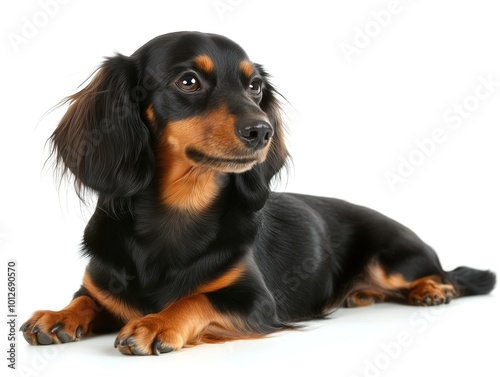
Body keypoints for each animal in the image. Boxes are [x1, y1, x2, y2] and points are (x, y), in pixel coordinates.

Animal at [20, 30, 496, 354]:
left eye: (255, 87)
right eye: (188, 81)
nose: (261, 131)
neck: (177, 214)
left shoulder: (255, 302)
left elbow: (195, 299)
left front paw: (155, 323)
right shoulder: (99, 286)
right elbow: (86, 300)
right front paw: (58, 315)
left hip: (393, 260)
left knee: (444, 274)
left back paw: (432, 289)